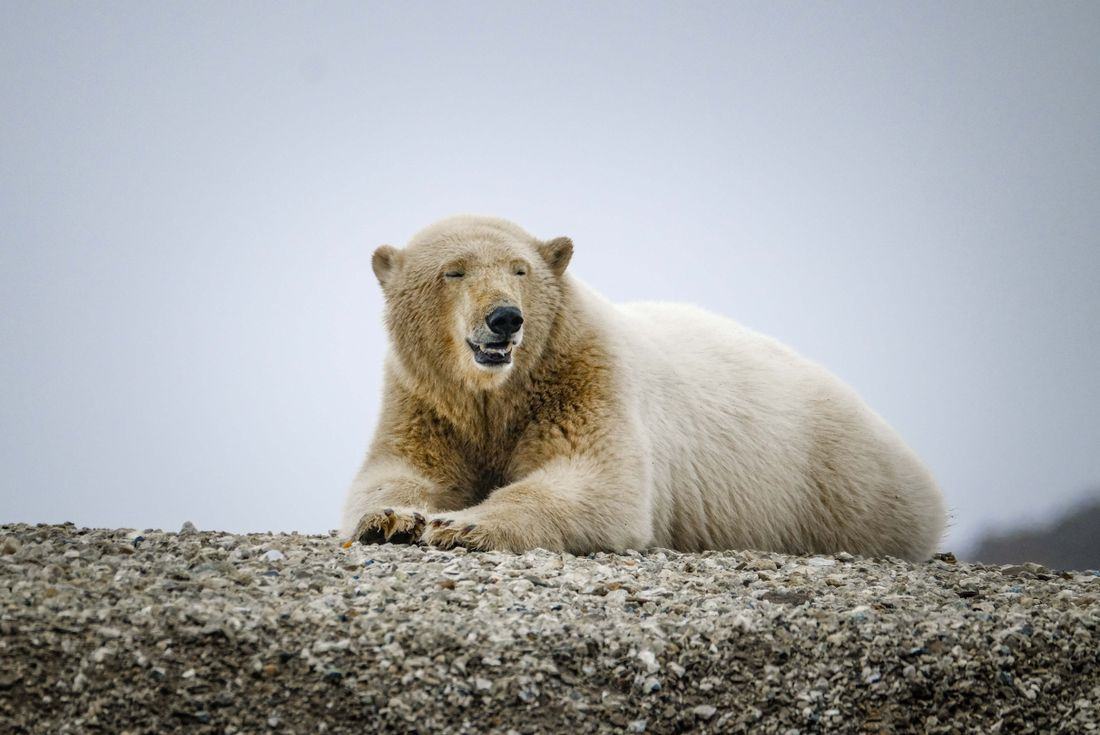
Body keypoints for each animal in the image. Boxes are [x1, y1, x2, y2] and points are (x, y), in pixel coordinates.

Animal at [340, 215, 947, 561]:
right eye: (454, 271)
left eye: (519, 270)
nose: (505, 319)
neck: (500, 392)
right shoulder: (425, 400)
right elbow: (400, 470)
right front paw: (394, 519)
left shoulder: (585, 377)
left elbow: (597, 480)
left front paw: (459, 525)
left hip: (835, 482)